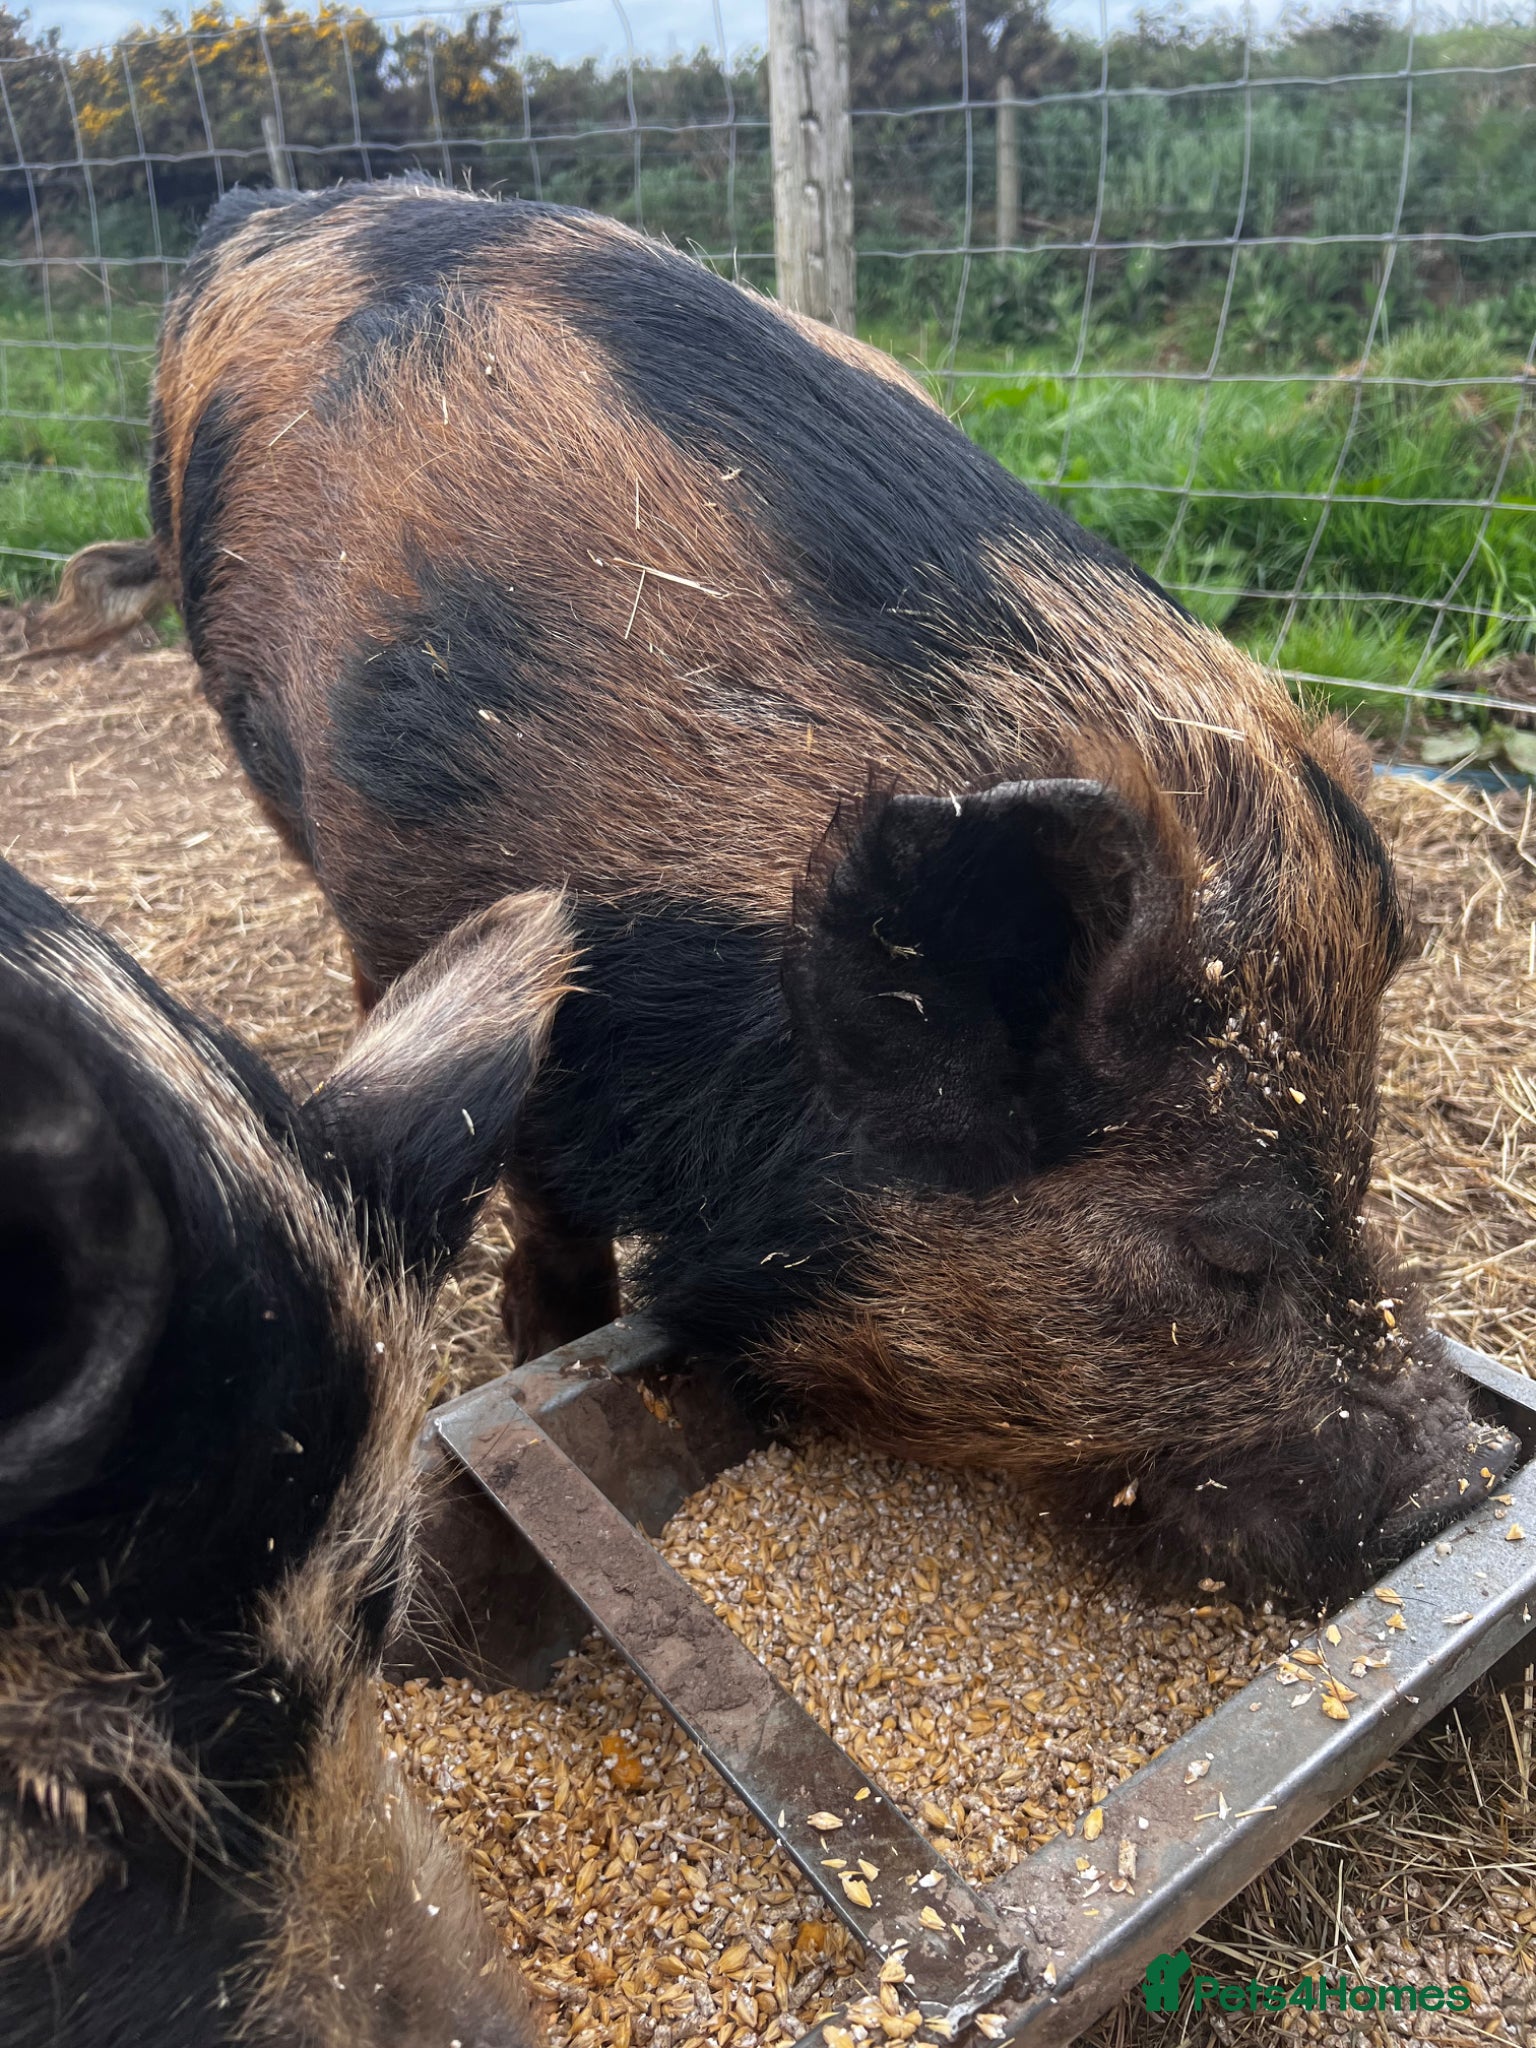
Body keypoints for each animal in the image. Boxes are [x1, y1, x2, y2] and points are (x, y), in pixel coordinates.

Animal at [55, 177, 1512, 1601]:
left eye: (1359, 1172)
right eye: (1219, 1250)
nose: (1466, 1474)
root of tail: (261, 201)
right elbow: (552, 1227)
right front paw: (539, 1339)